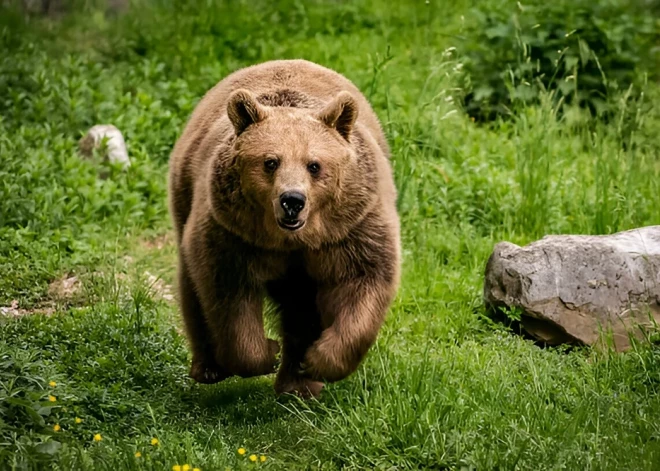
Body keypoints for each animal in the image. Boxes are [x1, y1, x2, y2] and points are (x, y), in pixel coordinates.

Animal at [168, 59, 400, 398]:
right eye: (270, 162)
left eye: (314, 165)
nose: (292, 200)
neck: (292, 240)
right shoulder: (234, 233)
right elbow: (228, 294)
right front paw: (267, 351)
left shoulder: (349, 229)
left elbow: (363, 280)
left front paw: (317, 360)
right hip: (186, 195)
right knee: (193, 287)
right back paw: (209, 368)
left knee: (301, 307)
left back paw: (298, 383)